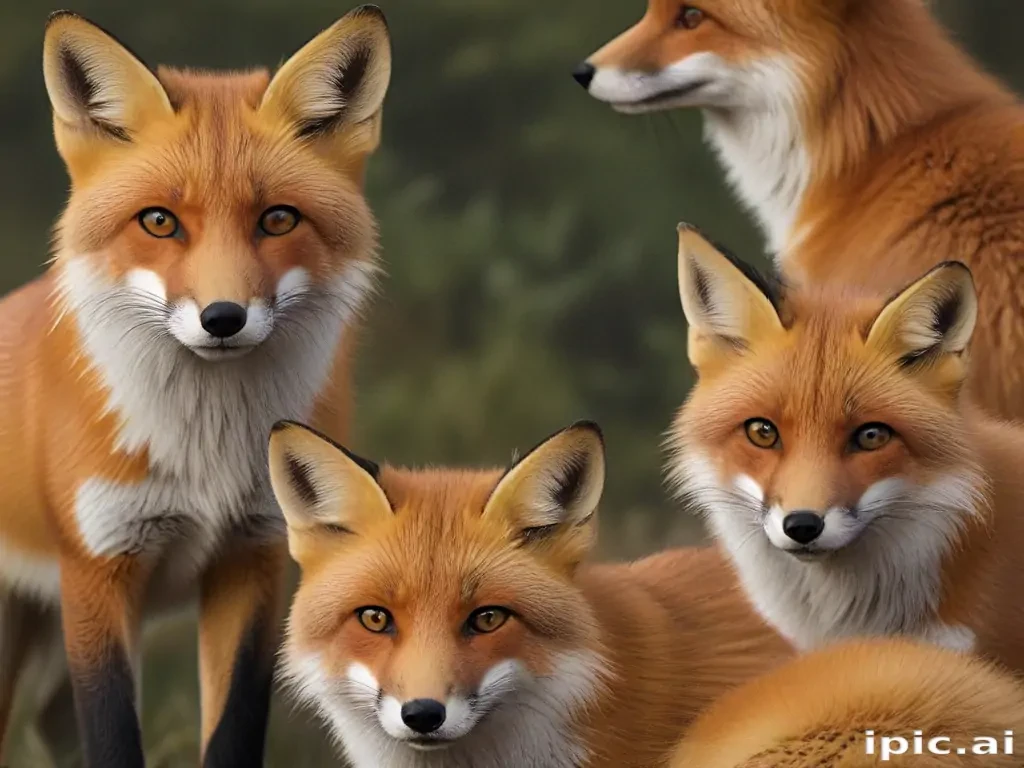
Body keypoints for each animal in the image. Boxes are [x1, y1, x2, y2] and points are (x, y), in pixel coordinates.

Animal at [0, 7, 391, 767]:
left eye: (277, 218)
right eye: (159, 221)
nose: (222, 318)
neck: (203, 450)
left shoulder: (253, 557)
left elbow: (232, 729)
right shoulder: (98, 568)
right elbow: (113, 738)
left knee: (49, 722)